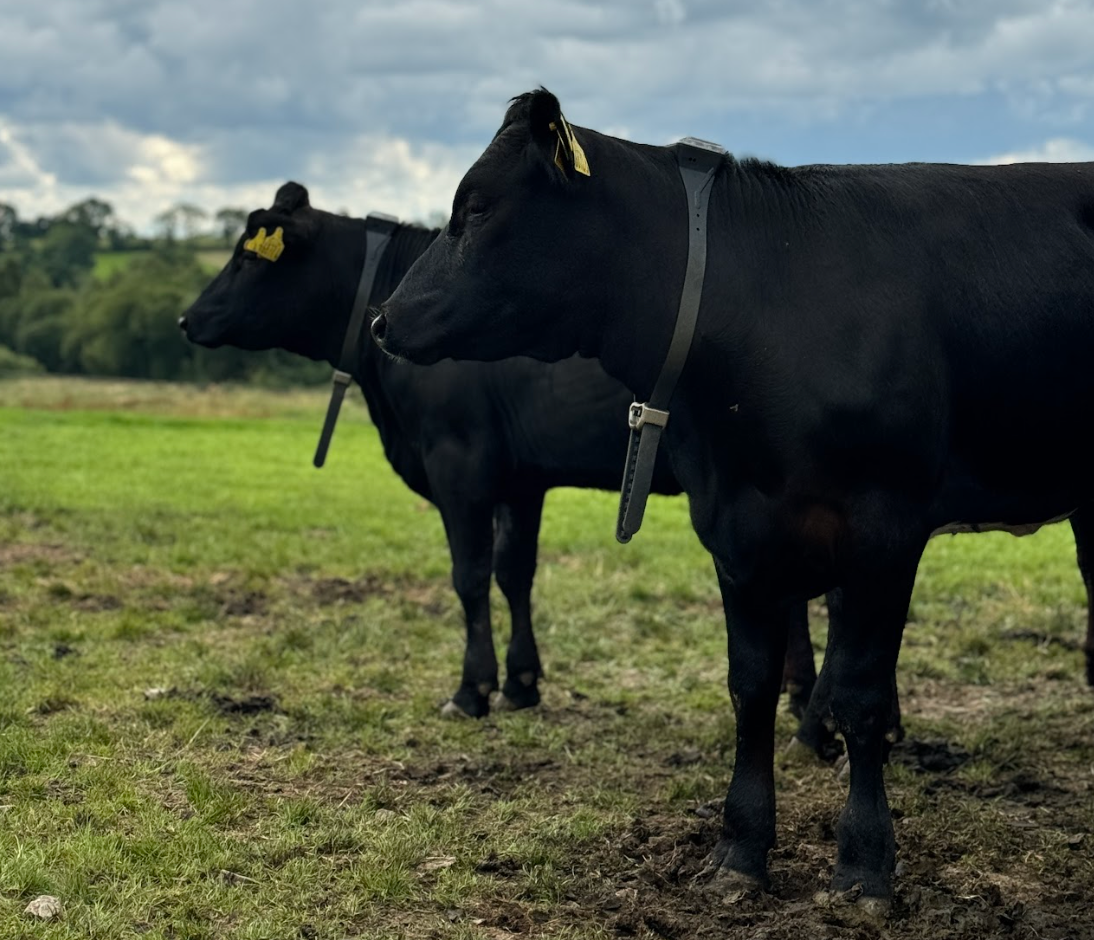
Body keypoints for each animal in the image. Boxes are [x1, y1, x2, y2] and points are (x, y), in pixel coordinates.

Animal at [181, 183, 822, 722]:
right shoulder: (520, 480)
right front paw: (522, 683)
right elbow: (516, 572)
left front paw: (473, 689)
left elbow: (470, 575)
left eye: (247, 258)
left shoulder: (458, 466)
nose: (186, 318)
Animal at [374, 90, 1094, 910]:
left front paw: (864, 862)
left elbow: (862, 696)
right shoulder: (736, 528)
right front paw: (741, 849)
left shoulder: (884, 528)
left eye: (478, 207)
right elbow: (751, 689)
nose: (384, 318)